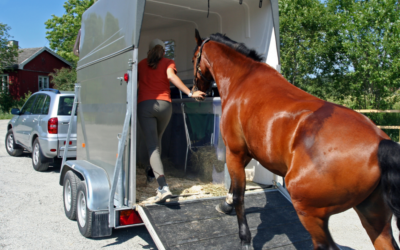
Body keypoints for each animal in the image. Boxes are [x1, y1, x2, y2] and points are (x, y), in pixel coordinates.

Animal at [191, 29, 400, 250]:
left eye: (194, 58)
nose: (197, 91)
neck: (243, 79)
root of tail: (381, 143)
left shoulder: (235, 151)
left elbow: (240, 195)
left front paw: (245, 238)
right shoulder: (246, 152)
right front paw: (226, 205)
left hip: (310, 213)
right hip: (374, 217)